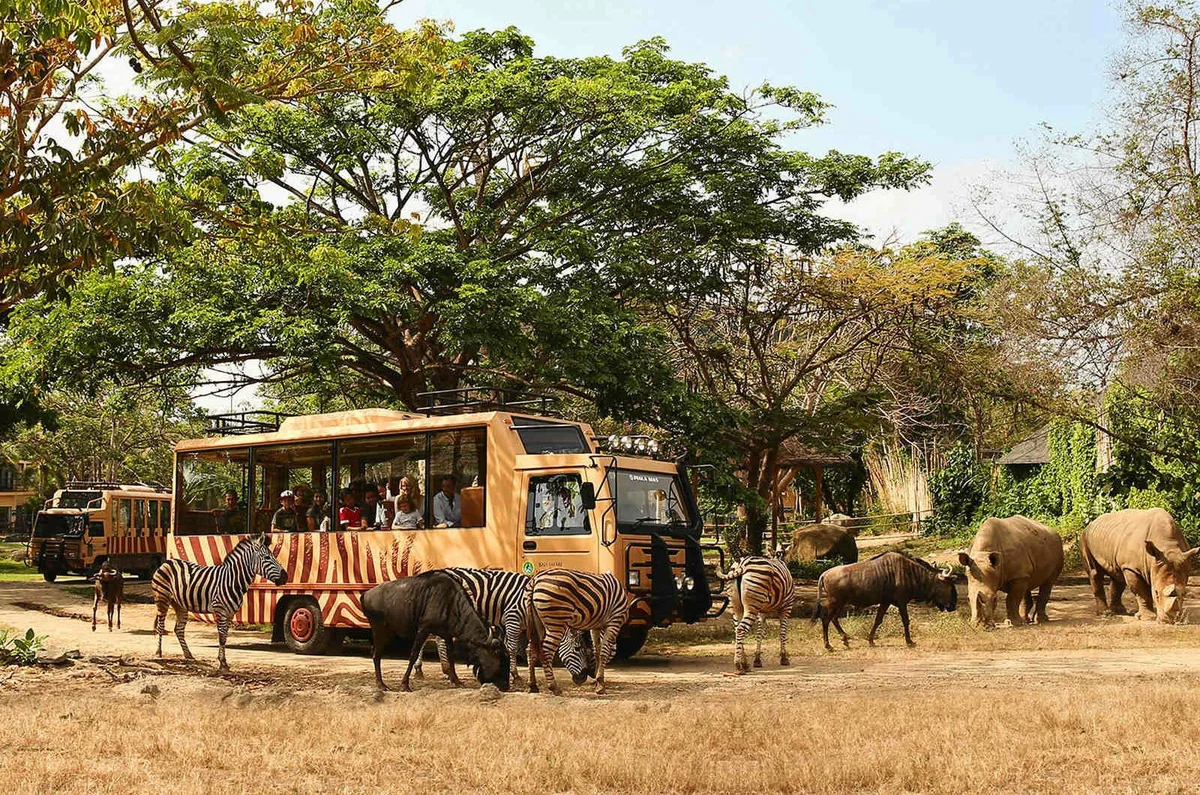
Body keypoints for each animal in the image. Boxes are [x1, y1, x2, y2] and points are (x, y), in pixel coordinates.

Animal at [151, 535, 286, 672]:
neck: (232, 580)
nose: (285, 577)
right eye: (267, 557)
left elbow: (225, 636)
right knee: (160, 627)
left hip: (180, 605)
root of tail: (167, 562)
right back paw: (158, 653)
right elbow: (221, 636)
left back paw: (188, 655)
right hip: (162, 599)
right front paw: (222, 663)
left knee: (178, 629)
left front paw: (224, 662)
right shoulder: (220, 609)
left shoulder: (231, 613)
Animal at [412, 566, 595, 691]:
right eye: (578, 648)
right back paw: (442, 671)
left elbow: (530, 649)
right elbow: (512, 647)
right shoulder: (512, 618)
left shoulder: (526, 626)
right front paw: (515, 676)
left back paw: (434, 670)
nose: (583, 678)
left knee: (435, 638)